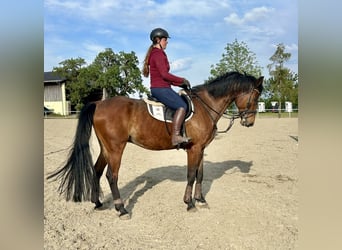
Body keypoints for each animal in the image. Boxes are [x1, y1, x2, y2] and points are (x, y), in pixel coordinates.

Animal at [46, 71, 264, 219]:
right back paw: (121, 209)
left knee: (97, 170)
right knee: (111, 176)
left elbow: (200, 175)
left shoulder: (201, 149)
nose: (250, 122)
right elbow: (191, 175)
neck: (205, 106)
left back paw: (98, 202)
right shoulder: (193, 150)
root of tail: (99, 103)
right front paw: (189, 203)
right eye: (255, 96)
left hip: (106, 148)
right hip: (116, 148)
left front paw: (201, 200)